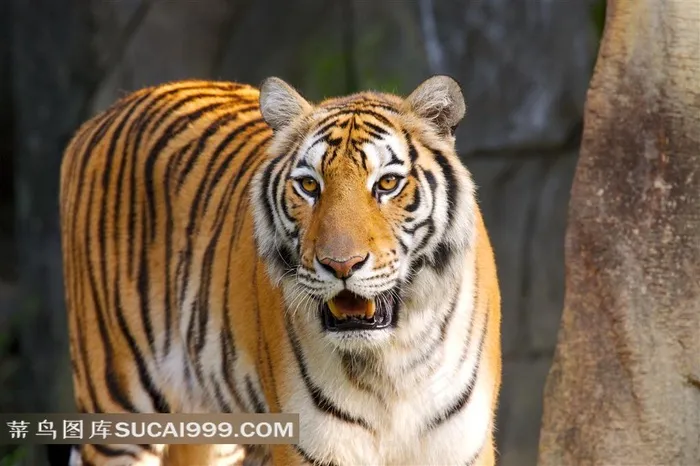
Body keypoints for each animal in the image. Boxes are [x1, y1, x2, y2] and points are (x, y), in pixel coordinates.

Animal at [59, 75, 502, 466]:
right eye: (309, 186)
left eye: (388, 183)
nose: (341, 264)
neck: (392, 363)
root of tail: (101, 117)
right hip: (117, 407)